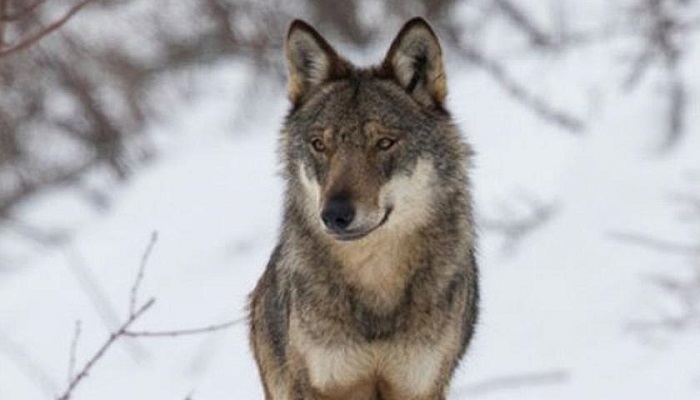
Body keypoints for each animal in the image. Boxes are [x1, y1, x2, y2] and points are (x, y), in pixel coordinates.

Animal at [248, 17, 479, 400]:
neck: (375, 281)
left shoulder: (421, 387)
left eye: (383, 143)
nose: (335, 215)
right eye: (319, 145)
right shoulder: (319, 386)